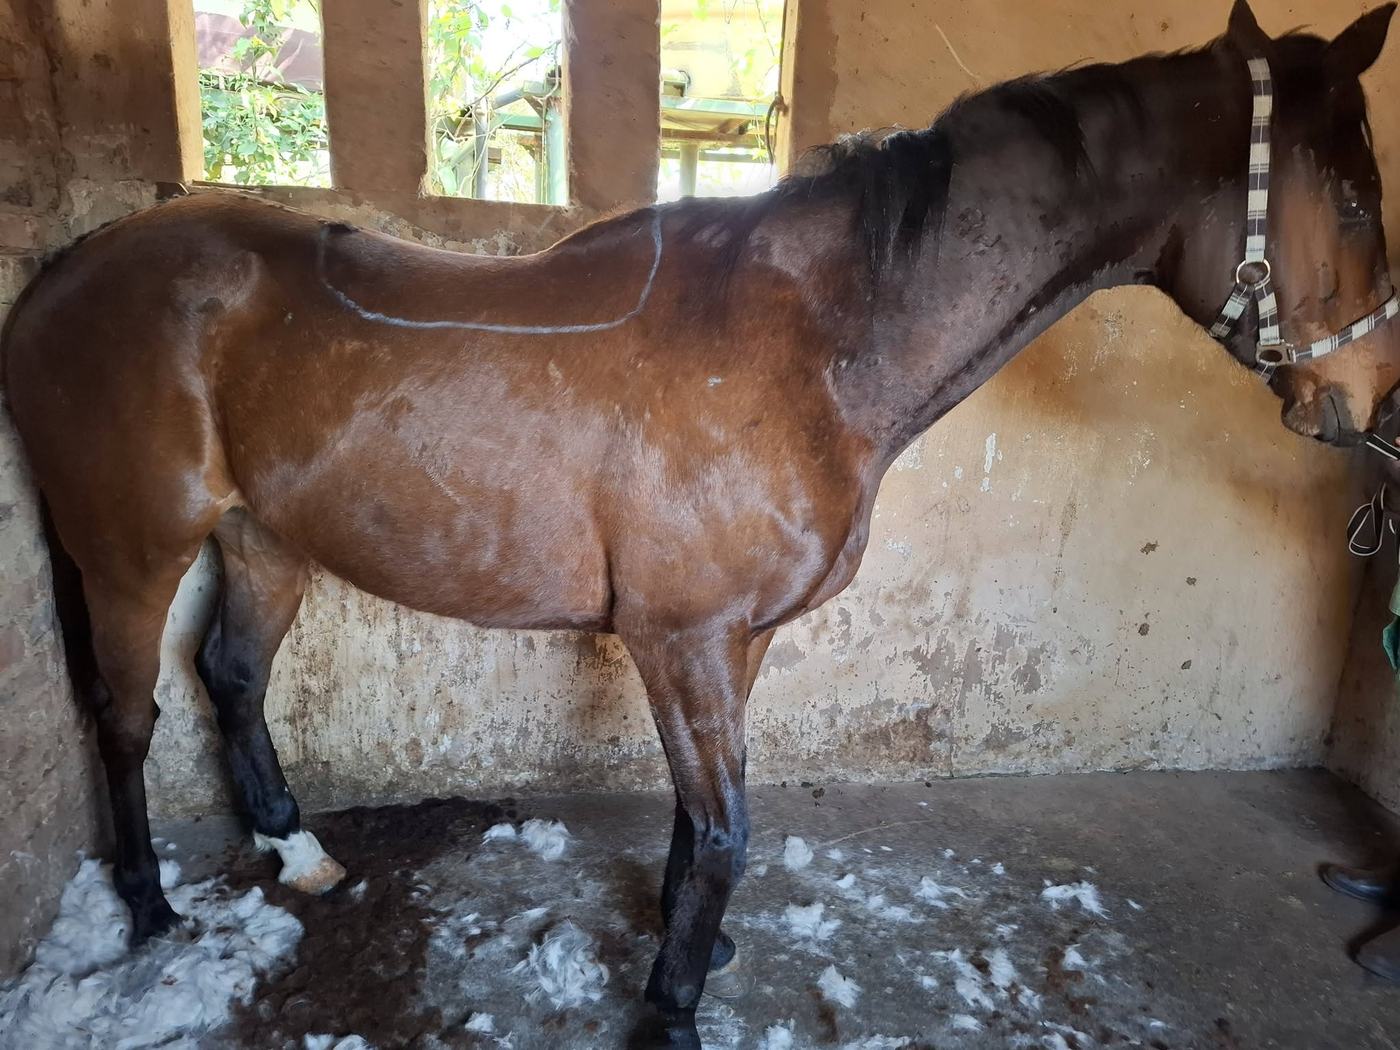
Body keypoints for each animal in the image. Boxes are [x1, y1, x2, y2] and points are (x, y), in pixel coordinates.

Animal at [4, 1, 1400, 1044]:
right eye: (1351, 194)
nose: (1367, 397)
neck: (808, 343)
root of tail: (65, 274)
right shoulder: (680, 639)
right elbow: (726, 828)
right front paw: (670, 1007)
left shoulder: (733, 640)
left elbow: (696, 821)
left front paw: (695, 951)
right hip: (132, 548)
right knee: (126, 713)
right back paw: (149, 909)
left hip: (262, 539)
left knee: (231, 675)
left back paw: (295, 856)